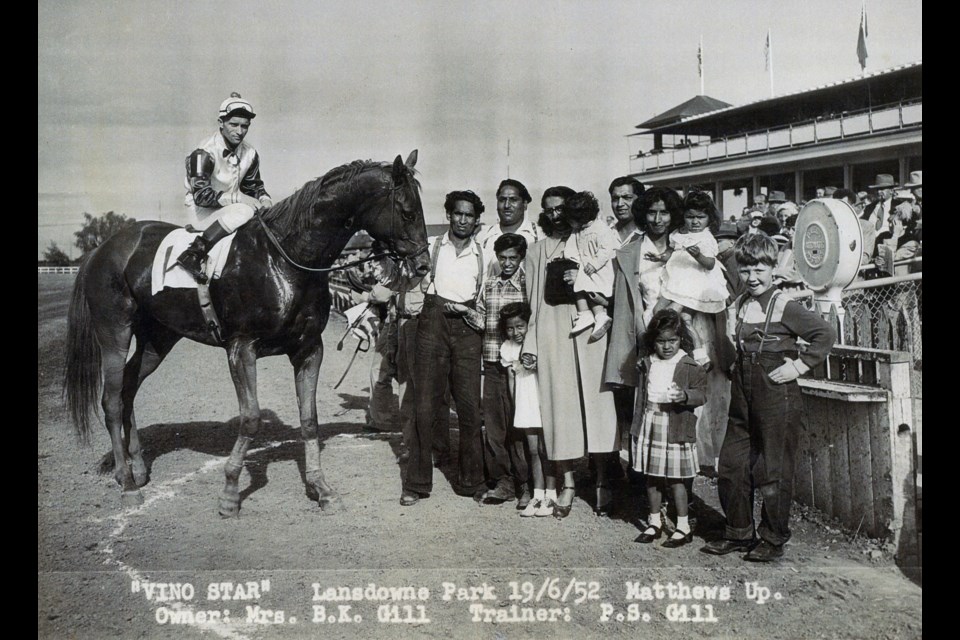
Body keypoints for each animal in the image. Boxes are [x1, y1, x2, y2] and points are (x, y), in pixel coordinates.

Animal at [62, 150, 430, 516]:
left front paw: (321, 488)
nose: (424, 266)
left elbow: (309, 419)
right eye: (408, 212)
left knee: (128, 389)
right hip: (115, 332)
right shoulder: (241, 348)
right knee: (111, 400)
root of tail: (102, 249)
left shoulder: (309, 348)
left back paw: (137, 468)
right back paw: (126, 484)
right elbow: (251, 417)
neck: (284, 261)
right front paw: (229, 493)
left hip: (158, 339)